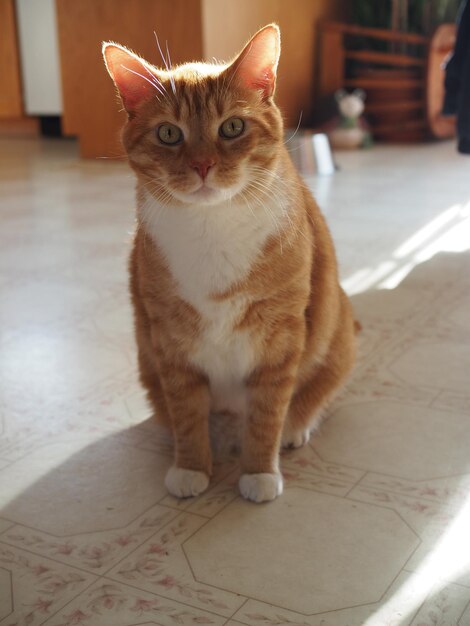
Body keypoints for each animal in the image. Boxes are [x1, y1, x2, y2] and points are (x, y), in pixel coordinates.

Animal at [102, 24, 352, 502]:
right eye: (168, 134)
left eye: (232, 127)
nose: (203, 165)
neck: (212, 227)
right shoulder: (170, 340)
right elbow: (186, 413)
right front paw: (191, 467)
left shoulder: (281, 337)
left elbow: (268, 413)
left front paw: (259, 472)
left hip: (339, 339)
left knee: (311, 399)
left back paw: (294, 430)